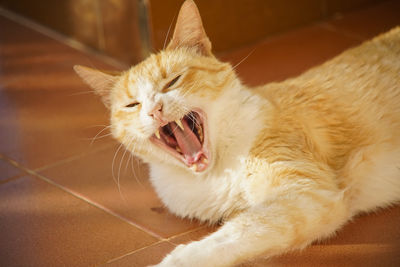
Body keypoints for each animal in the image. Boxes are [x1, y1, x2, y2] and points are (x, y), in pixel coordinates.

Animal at [75, 0, 400, 267]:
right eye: (132, 105)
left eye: (173, 82)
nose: (154, 109)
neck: (214, 172)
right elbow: (240, 225)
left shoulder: (307, 195)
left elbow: (237, 232)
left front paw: (175, 260)